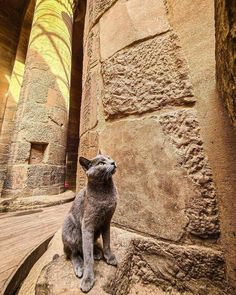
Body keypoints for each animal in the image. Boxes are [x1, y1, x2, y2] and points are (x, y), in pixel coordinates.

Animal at [61, 153, 118, 294]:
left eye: (109, 158)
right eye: (101, 163)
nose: (113, 162)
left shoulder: (107, 221)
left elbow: (107, 242)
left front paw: (109, 257)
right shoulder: (87, 224)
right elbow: (87, 257)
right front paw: (88, 280)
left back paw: (97, 252)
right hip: (69, 226)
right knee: (74, 252)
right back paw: (79, 267)